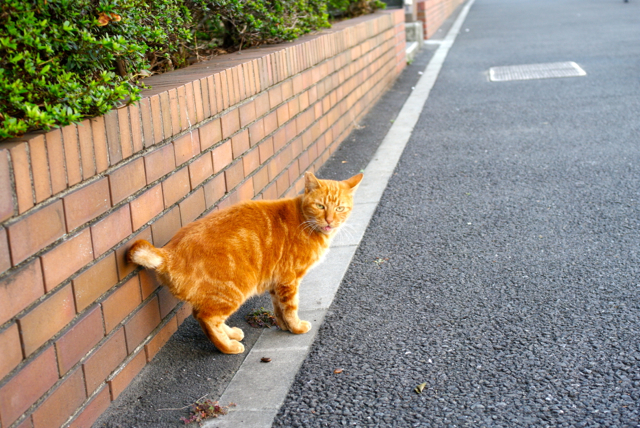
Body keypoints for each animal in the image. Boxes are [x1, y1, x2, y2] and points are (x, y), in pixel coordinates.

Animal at [128, 171, 363, 354]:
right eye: (320, 206)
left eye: (340, 208)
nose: (330, 221)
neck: (305, 222)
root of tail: (169, 252)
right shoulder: (289, 279)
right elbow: (290, 307)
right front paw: (296, 327)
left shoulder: (277, 282)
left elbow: (278, 308)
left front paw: (284, 326)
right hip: (233, 289)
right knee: (206, 318)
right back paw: (228, 347)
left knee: (205, 316)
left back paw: (231, 334)